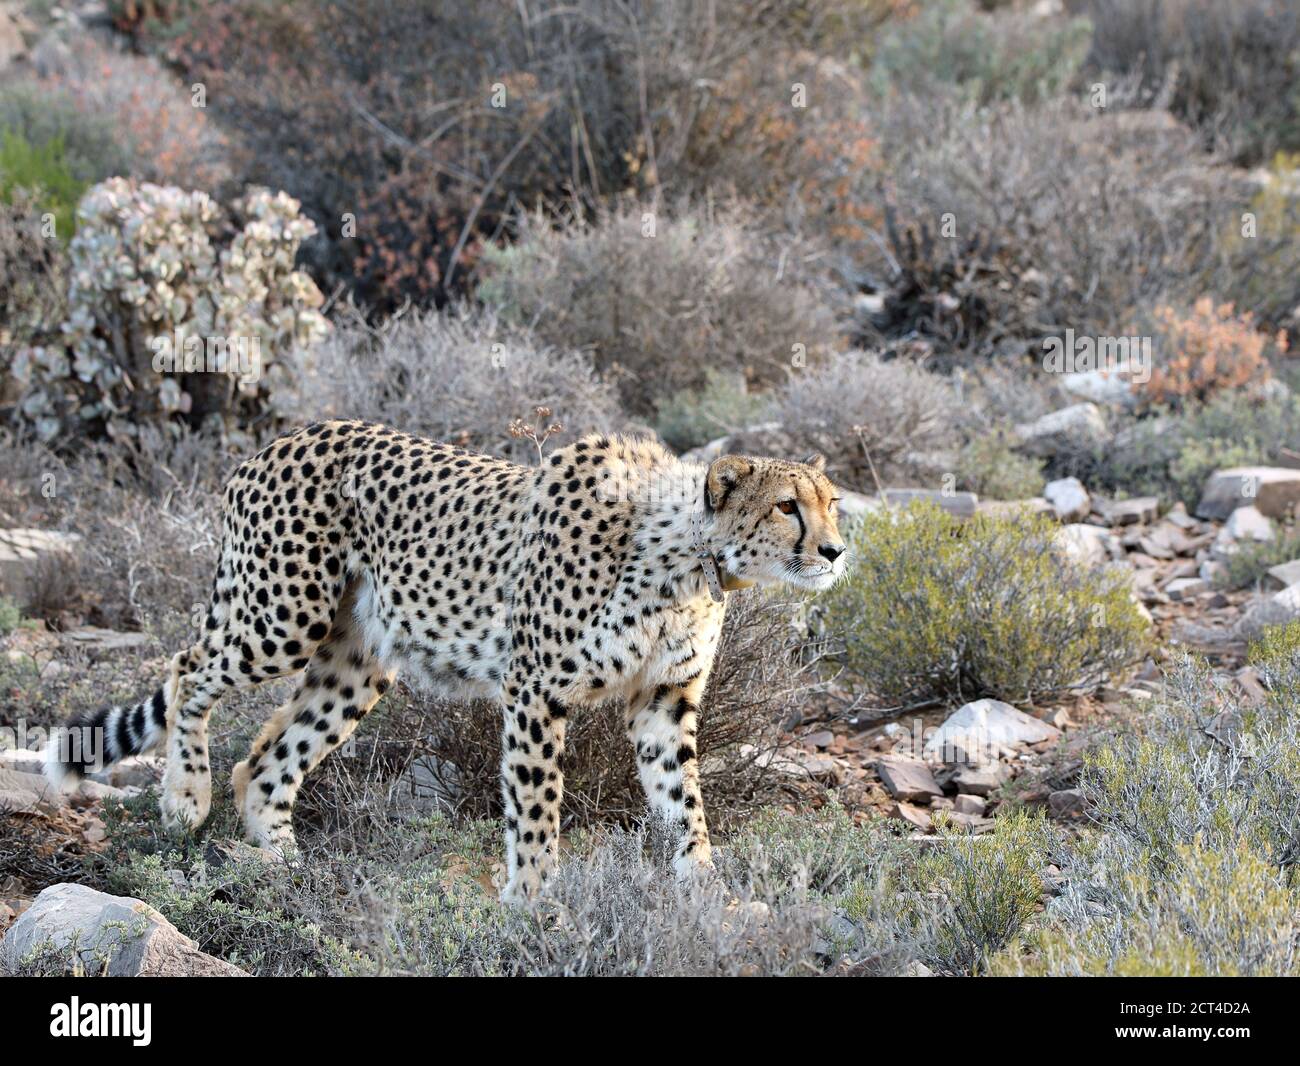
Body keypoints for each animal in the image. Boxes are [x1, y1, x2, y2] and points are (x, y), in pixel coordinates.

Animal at [45, 416, 847, 899]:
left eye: (833, 502)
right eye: (787, 507)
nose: (838, 550)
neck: (683, 557)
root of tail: (283, 437)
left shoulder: (662, 702)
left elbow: (684, 807)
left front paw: (704, 898)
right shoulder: (535, 689)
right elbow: (535, 810)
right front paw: (536, 906)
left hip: (358, 662)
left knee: (267, 760)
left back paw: (287, 872)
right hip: (281, 617)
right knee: (188, 671)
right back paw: (185, 798)